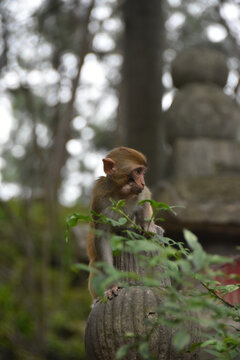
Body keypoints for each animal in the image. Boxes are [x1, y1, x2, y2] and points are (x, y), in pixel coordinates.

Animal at [86, 146, 163, 300]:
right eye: (137, 171)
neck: (120, 194)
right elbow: (102, 238)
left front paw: (147, 226)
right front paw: (112, 286)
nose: (142, 182)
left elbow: (145, 198)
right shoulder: (99, 199)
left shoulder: (139, 193)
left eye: (142, 172)